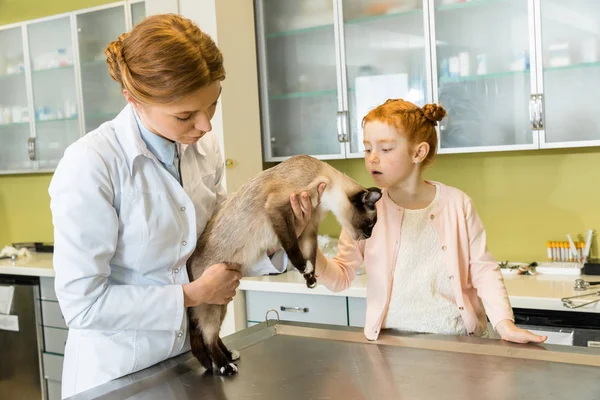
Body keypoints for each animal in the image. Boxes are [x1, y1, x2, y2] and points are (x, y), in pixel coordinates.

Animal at [185, 153, 382, 376]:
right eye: (370, 225)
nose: (368, 236)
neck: (324, 182)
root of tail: (190, 259)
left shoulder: (308, 226)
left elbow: (310, 254)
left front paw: (310, 278)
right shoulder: (279, 209)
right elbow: (292, 247)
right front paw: (304, 268)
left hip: (222, 301)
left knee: (214, 335)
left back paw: (228, 356)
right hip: (211, 302)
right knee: (208, 337)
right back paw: (223, 366)